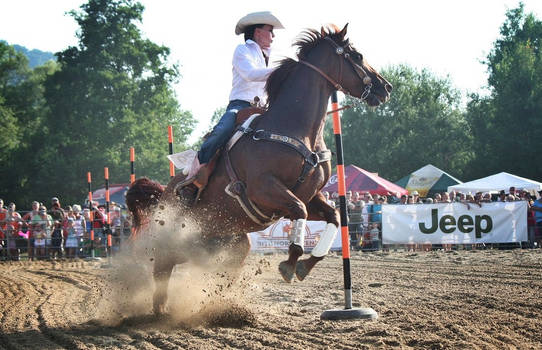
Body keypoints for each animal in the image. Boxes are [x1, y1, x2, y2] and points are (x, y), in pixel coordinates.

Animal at [126, 24, 394, 314]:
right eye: (357, 55)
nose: (385, 87)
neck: (295, 130)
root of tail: (164, 191)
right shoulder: (264, 188)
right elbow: (299, 211)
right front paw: (289, 263)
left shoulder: (310, 196)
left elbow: (333, 217)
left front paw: (304, 265)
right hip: (178, 237)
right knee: (162, 268)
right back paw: (160, 309)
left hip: (222, 244)